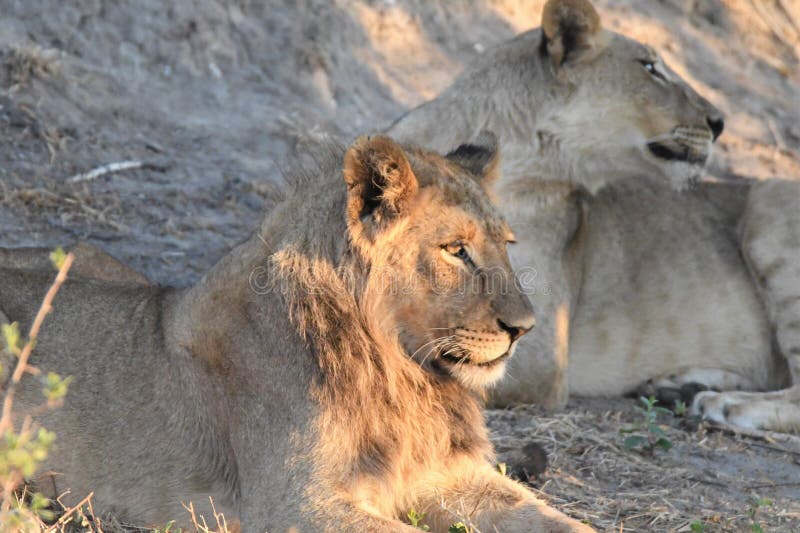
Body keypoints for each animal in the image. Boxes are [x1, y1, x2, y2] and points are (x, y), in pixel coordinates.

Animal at [0, 135, 592, 528]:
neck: (402, 373)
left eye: (507, 246)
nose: (525, 328)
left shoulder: (446, 475)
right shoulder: (294, 504)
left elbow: (561, 522)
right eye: (455, 250)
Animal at [390, 0, 800, 430]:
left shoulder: (540, 354)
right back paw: (680, 385)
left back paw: (722, 403)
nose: (720, 123)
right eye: (650, 67)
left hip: (771, 203)